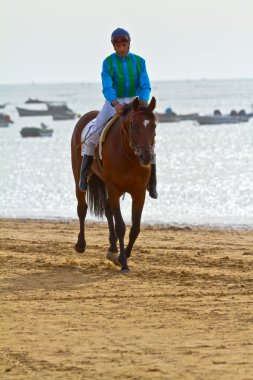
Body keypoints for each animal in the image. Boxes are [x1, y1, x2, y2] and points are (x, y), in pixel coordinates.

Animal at [71, 96, 157, 272]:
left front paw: (121, 256)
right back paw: (81, 244)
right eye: (134, 126)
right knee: (82, 208)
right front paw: (123, 262)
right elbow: (121, 227)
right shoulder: (114, 189)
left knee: (107, 209)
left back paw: (112, 248)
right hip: (80, 178)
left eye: (154, 126)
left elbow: (135, 228)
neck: (129, 155)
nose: (146, 156)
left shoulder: (139, 193)